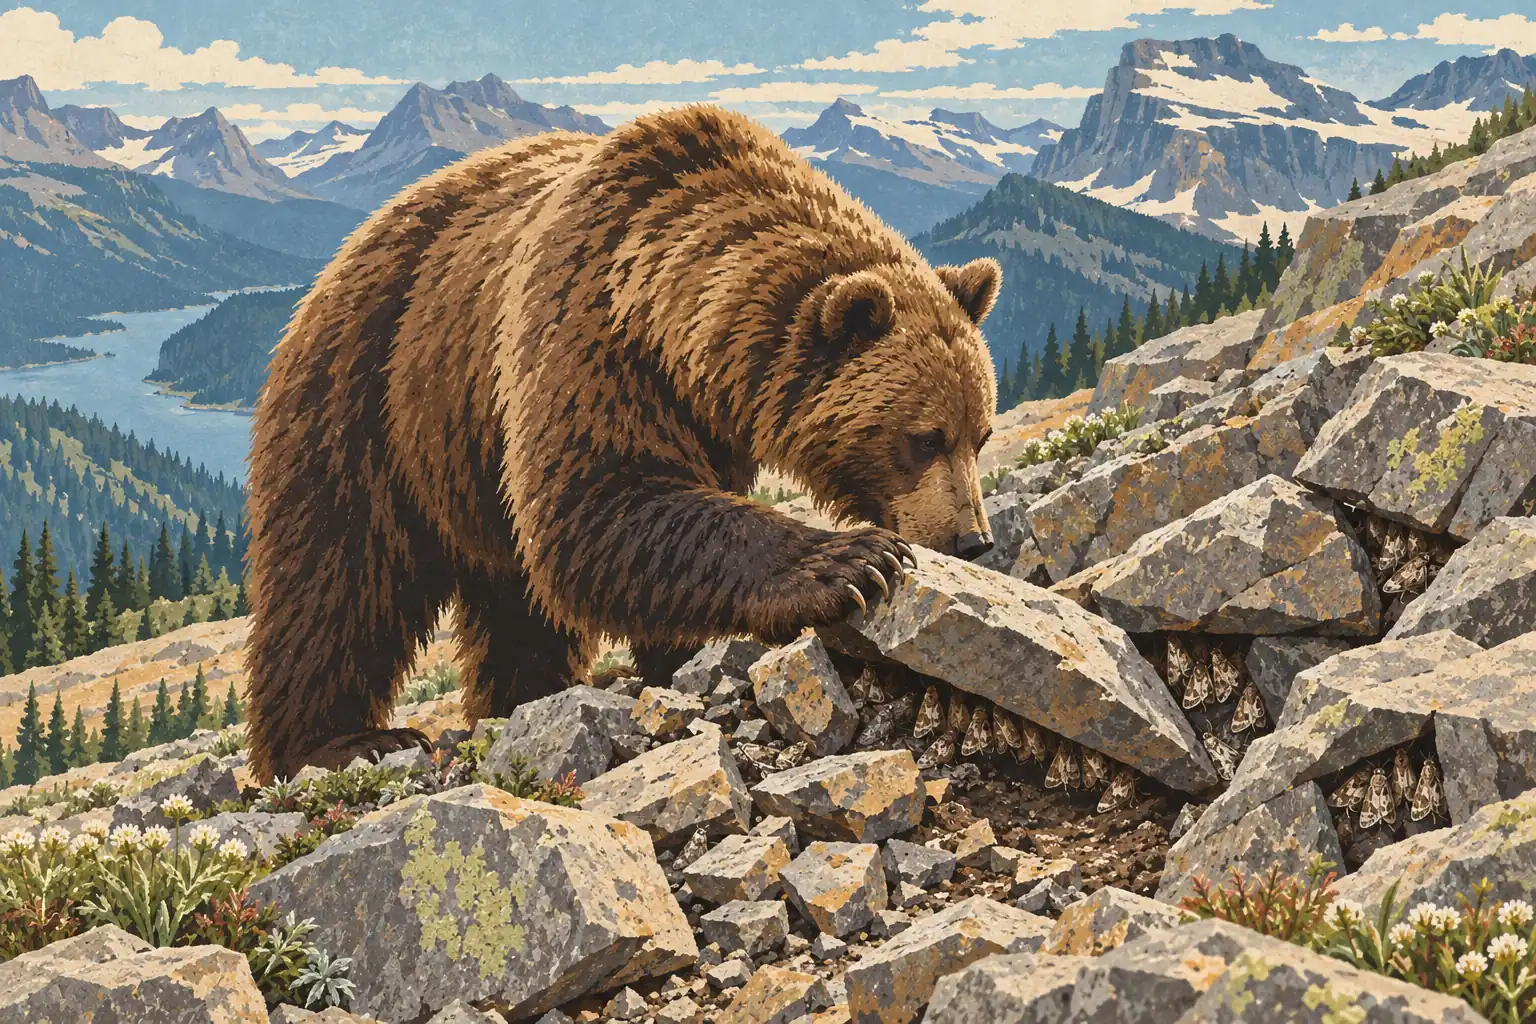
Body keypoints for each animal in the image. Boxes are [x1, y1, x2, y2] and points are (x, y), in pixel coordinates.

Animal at [243, 105, 1003, 781]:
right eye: (924, 438)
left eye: (982, 434)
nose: (972, 539)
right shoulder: (589, 327)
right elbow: (600, 499)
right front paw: (850, 562)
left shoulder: (703, 417)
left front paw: (676, 655)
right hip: (373, 389)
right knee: (337, 573)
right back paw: (342, 741)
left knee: (514, 605)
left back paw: (520, 696)